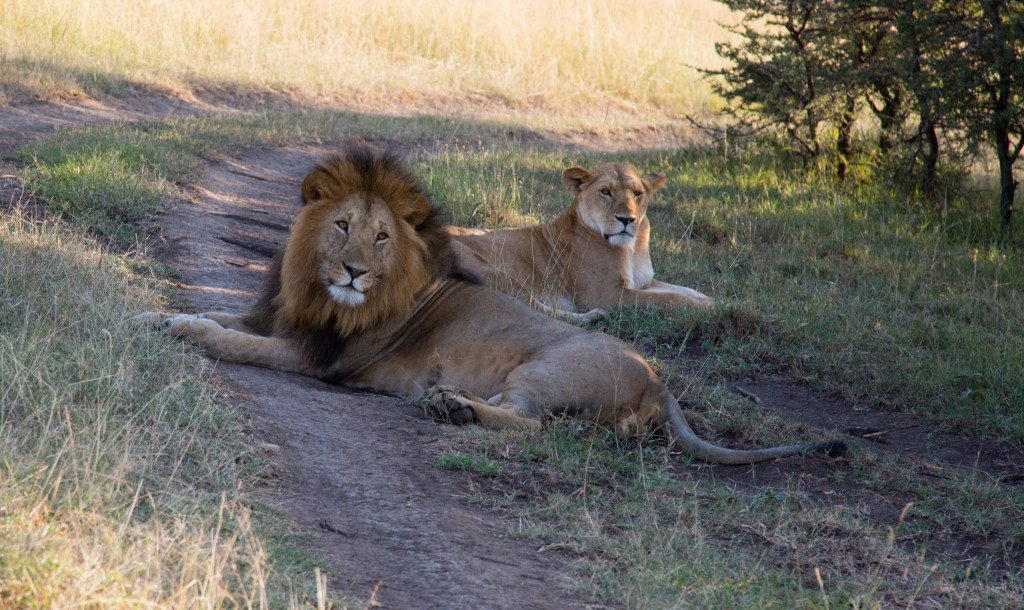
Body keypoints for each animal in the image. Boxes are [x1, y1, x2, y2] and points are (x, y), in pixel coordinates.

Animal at [452, 161, 716, 323]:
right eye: (605, 192)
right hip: (490, 270)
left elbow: (683, 289)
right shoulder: (607, 294)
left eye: (637, 193)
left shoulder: (645, 281)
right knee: (533, 307)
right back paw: (594, 316)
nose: (626, 219)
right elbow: (668, 298)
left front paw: (714, 301)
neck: (632, 249)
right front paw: (703, 309)